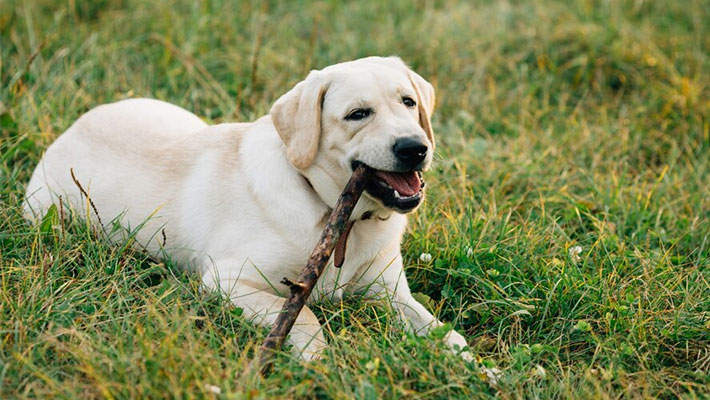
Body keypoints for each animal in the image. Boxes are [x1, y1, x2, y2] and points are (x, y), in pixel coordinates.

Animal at [23, 55, 472, 362]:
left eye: (409, 102)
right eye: (357, 114)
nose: (415, 148)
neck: (337, 217)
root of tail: (73, 126)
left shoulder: (390, 293)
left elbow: (445, 332)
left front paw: (476, 368)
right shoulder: (227, 280)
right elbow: (304, 317)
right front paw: (316, 361)